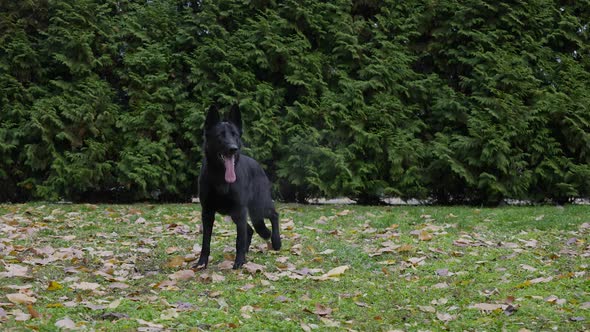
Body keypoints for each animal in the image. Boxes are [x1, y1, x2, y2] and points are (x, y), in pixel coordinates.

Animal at [195, 105, 284, 268]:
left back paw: (276, 241)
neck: (220, 177)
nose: (233, 148)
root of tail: (257, 165)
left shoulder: (240, 210)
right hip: (239, 214)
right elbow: (206, 241)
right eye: (220, 135)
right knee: (249, 230)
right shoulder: (208, 213)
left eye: (234, 135)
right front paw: (201, 263)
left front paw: (239, 262)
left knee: (273, 215)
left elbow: (239, 240)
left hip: (258, 207)